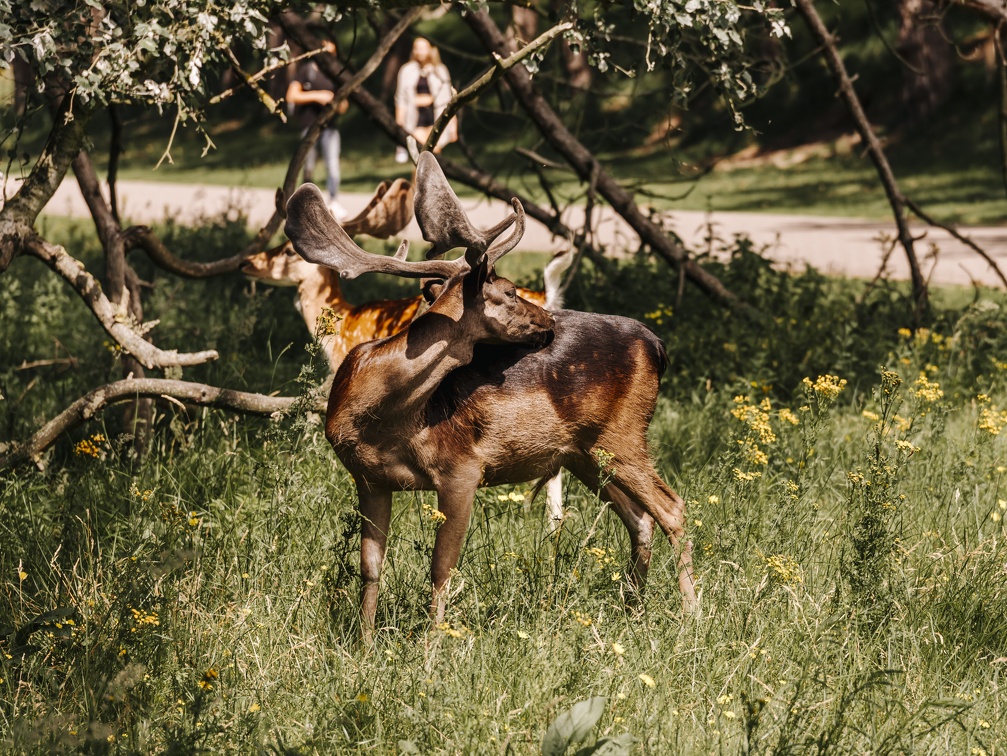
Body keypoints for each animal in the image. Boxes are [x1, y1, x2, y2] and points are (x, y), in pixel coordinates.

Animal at [281, 155, 692, 644]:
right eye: (511, 292)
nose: (549, 320)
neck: (380, 419)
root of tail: (658, 345)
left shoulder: (462, 468)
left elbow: (441, 570)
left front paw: (430, 647)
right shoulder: (369, 478)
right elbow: (371, 568)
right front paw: (363, 645)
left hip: (623, 434)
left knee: (673, 509)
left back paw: (693, 617)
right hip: (584, 453)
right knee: (641, 518)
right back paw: (634, 610)